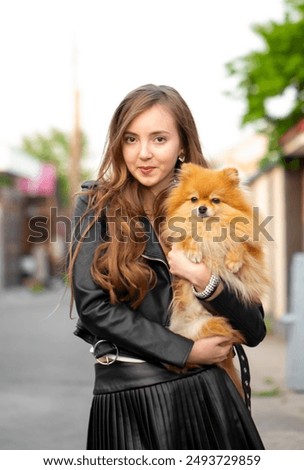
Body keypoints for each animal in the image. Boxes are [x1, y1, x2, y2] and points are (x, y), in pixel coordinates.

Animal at [163, 163, 270, 394]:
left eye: (215, 200)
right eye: (194, 199)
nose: (202, 208)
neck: (209, 229)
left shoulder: (252, 252)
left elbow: (240, 245)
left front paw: (233, 261)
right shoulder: (178, 240)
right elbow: (187, 237)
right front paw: (193, 250)